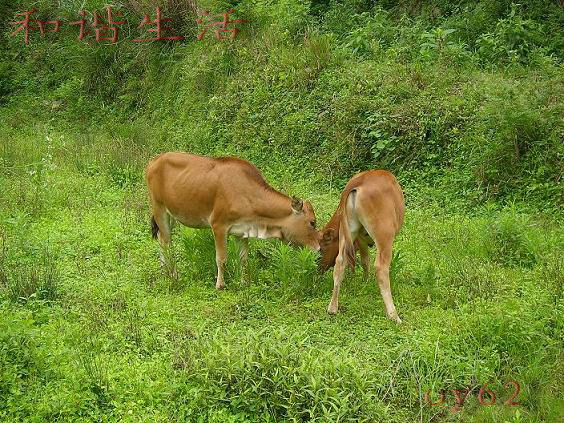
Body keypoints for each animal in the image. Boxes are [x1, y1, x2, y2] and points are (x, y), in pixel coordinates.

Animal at [145, 151, 320, 290]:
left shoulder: (242, 231)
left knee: (161, 239)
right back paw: (174, 275)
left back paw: (164, 270)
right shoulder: (218, 226)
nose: (319, 248)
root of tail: (155, 160)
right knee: (167, 243)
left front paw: (244, 282)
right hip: (159, 208)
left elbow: (243, 259)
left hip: (172, 215)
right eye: (312, 222)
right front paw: (220, 285)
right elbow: (221, 258)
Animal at [318, 171, 406, 322]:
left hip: (348, 230)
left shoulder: (361, 238)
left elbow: (365, 261)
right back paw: (394, 315)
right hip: (385, 235)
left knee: (340, 262)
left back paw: (332, 308)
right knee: (381, 267)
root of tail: (360, 180)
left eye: (321, 251)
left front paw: (364, 282)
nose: (318, 270)